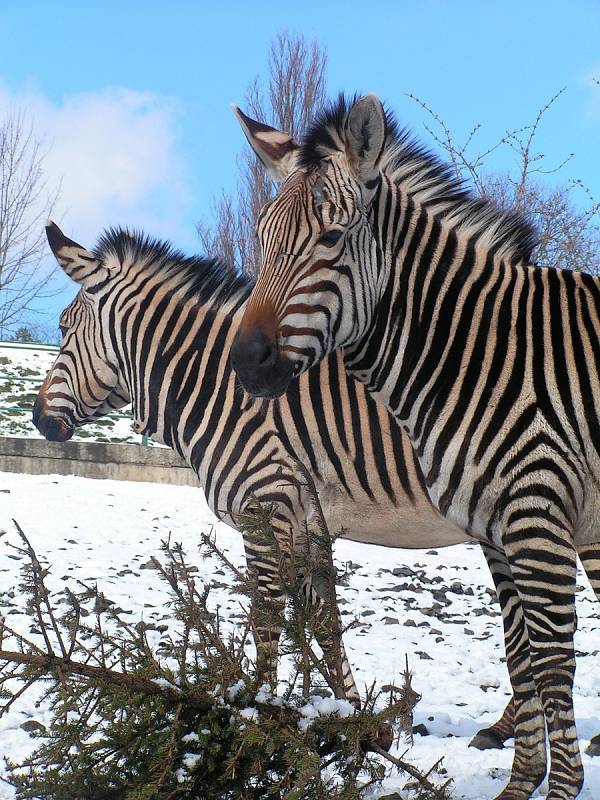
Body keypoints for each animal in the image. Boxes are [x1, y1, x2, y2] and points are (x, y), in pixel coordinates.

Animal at [32, 222, 540, 752]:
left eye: (65, 327)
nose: (37, 419)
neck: (221, 390)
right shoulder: (304, 521)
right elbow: (323, 619)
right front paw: (357, 722)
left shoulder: (265, 506)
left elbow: (268, 614)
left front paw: (258, 715)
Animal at [231, 95, 600, 800]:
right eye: (261, 239)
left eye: (330, 239)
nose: (243, 363)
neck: (478, 353)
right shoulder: (498, 533)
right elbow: (521, 654)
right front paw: (520, 782)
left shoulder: (537, 519)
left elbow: (551, 661)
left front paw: (559, 785)